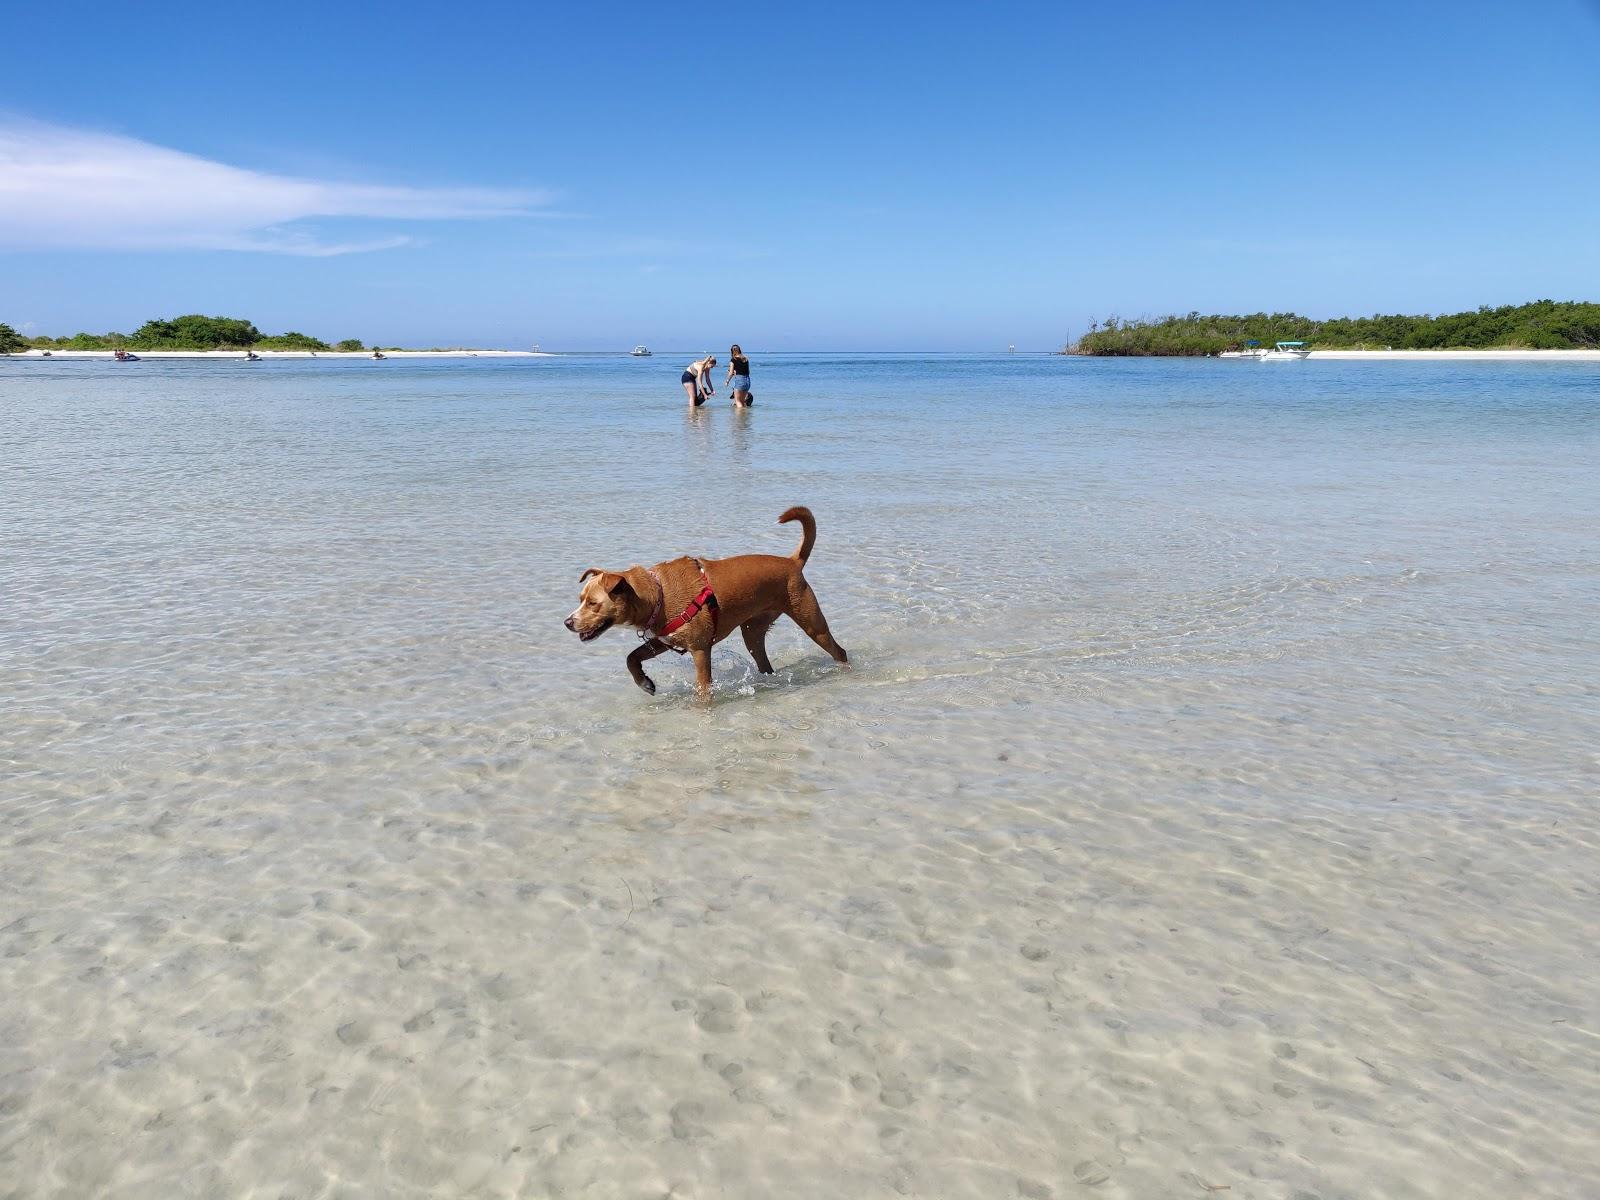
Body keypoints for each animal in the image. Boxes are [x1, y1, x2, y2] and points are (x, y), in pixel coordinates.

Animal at [572, 505, 857, 694]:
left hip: (811, 622)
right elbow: (631, 657)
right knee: (763, 661)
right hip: (753, 630)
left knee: (838, 650)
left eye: (593, 603)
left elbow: (703, 688)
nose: (567, 622)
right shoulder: (665, 640)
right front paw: (644, 682)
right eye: (580, 598)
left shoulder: (700, 649)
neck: (657, 594)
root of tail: (793, 561)